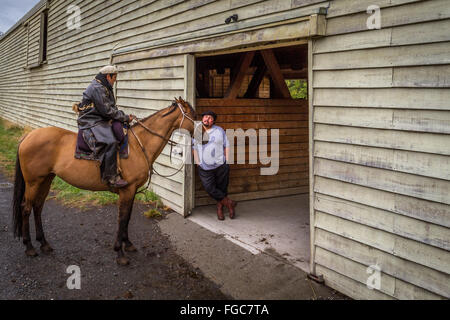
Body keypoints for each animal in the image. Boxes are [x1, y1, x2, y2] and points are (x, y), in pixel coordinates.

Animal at [11, 97, 195, 264]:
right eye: (192, 114)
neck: (138, 145)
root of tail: (28, 136)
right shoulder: (127, 190)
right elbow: (122, 218)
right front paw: (119, 252)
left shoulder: (132, 190)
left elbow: (127, 217)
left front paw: (128, 244)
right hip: (33, 182)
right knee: (26, 208)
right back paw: (29, 247)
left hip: (46, 180)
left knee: (37, 207)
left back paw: (44, 243)